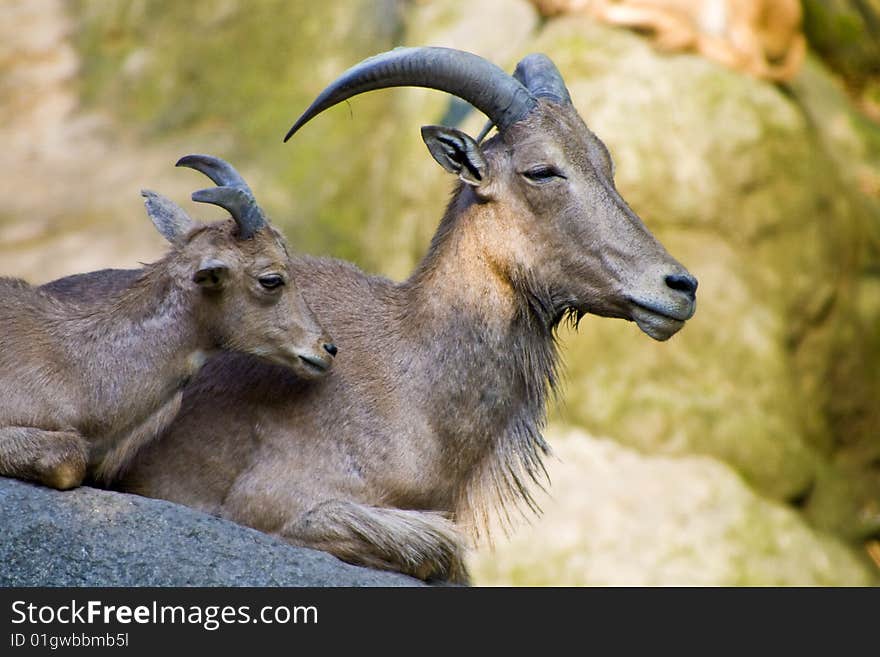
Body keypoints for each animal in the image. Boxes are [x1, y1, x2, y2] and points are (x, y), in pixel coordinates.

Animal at [113, 48, 696, 580]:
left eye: (605, 163)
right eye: (542, 170)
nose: (680, 286)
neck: (413, 383)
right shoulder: (276, 505)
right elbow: (438, 546)